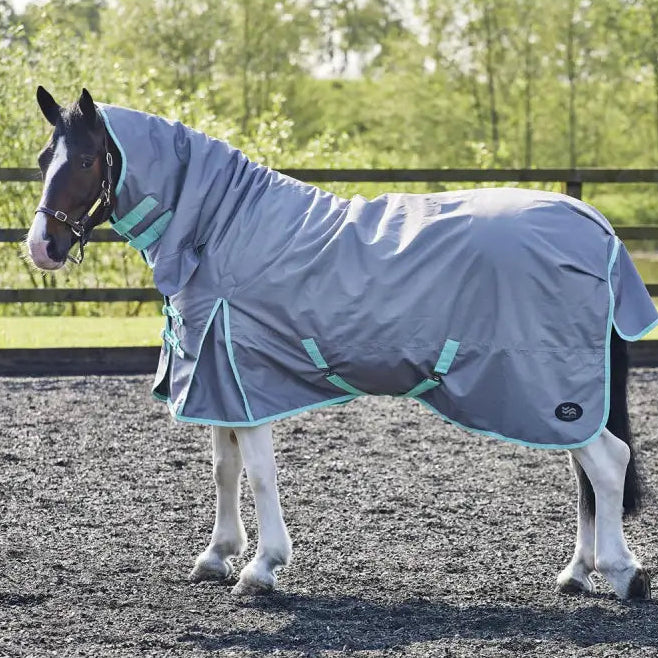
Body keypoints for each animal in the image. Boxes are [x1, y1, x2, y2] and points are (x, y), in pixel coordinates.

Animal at [26, 87, 658, 599]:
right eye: (41, 160)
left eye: (85, 159)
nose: (41, 247)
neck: (222, 229)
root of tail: (595, 225)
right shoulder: (215, 378)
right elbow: (224, 467)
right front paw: (217, 556)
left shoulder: (241, 376)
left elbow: (258, 471)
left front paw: (261, 568)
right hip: (558, 402)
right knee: (585, 470)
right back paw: (576, 573)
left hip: (547, 394)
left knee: (607, 464)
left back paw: (622, 572)